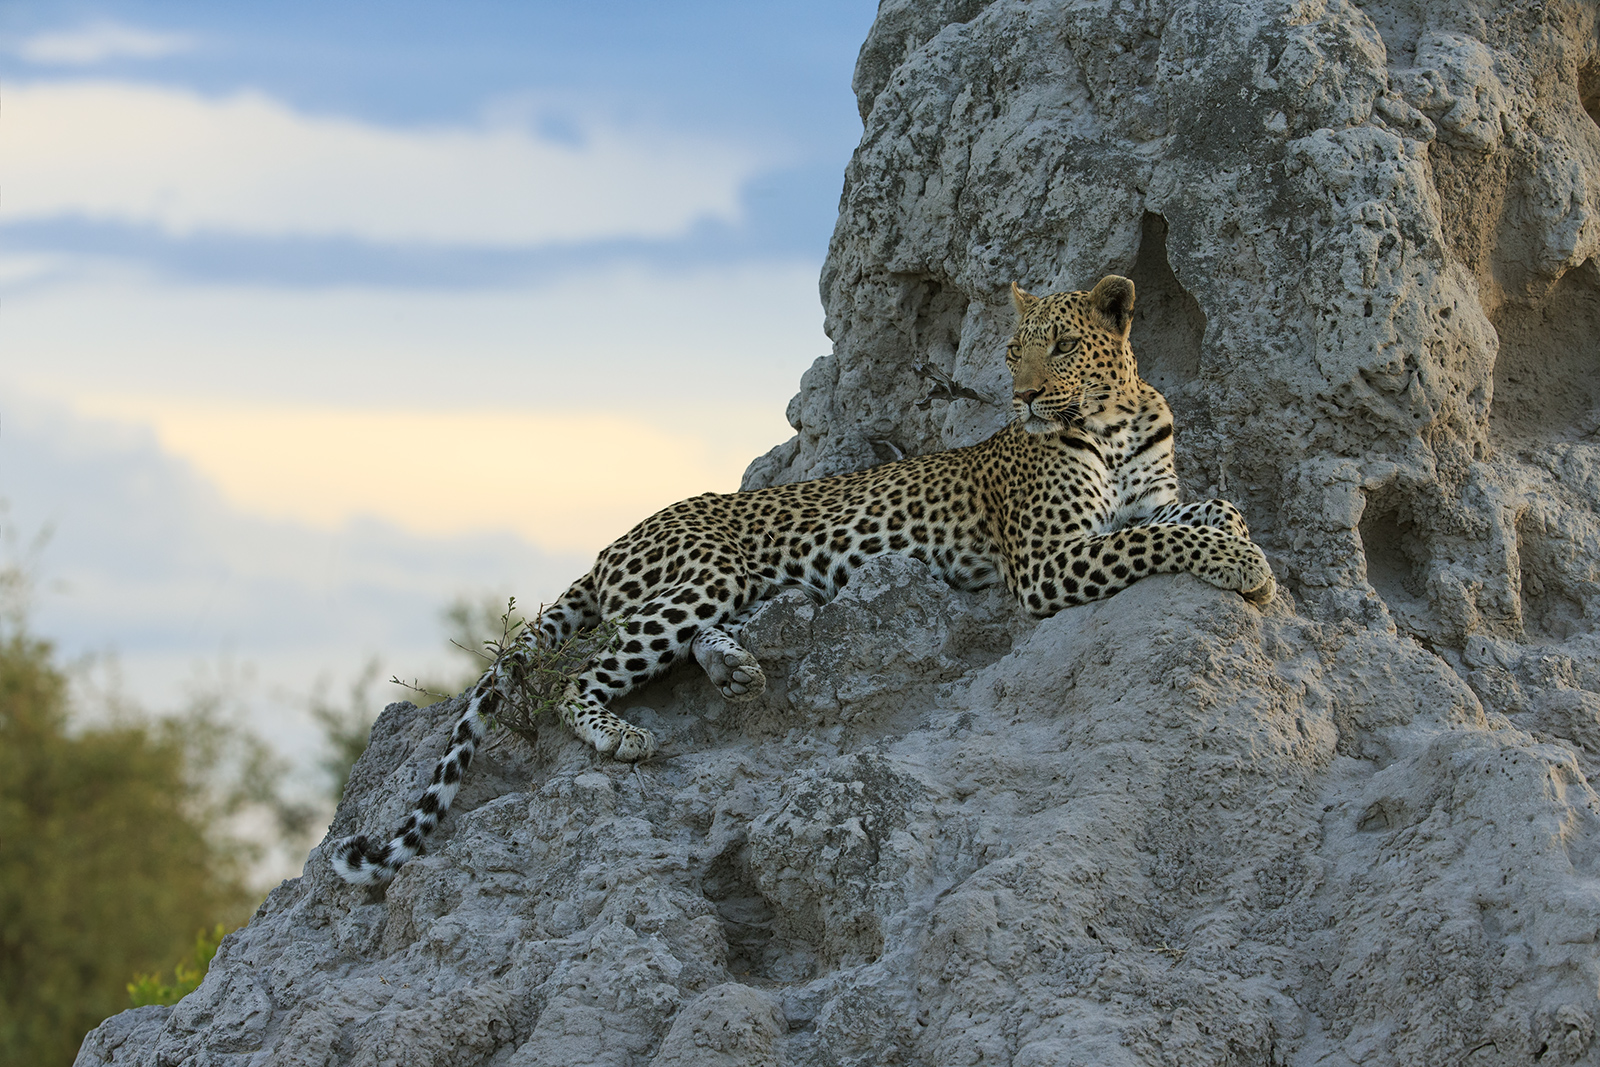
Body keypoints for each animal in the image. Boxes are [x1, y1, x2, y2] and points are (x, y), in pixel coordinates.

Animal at [331, 273, 1275, 885]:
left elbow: (1202, 511)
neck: (1114, 422)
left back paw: (736, 670)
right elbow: (1154, 544)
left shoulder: (1143, 503)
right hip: (702, 572)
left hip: (717, 592)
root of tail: (610, 542)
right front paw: (1243, 566)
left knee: (668, 640)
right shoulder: (1049, 559)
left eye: (1065, 345)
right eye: (1015, 349)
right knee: (579, 670)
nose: (1027, 397)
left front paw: (1244, 547)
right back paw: (621, 732)